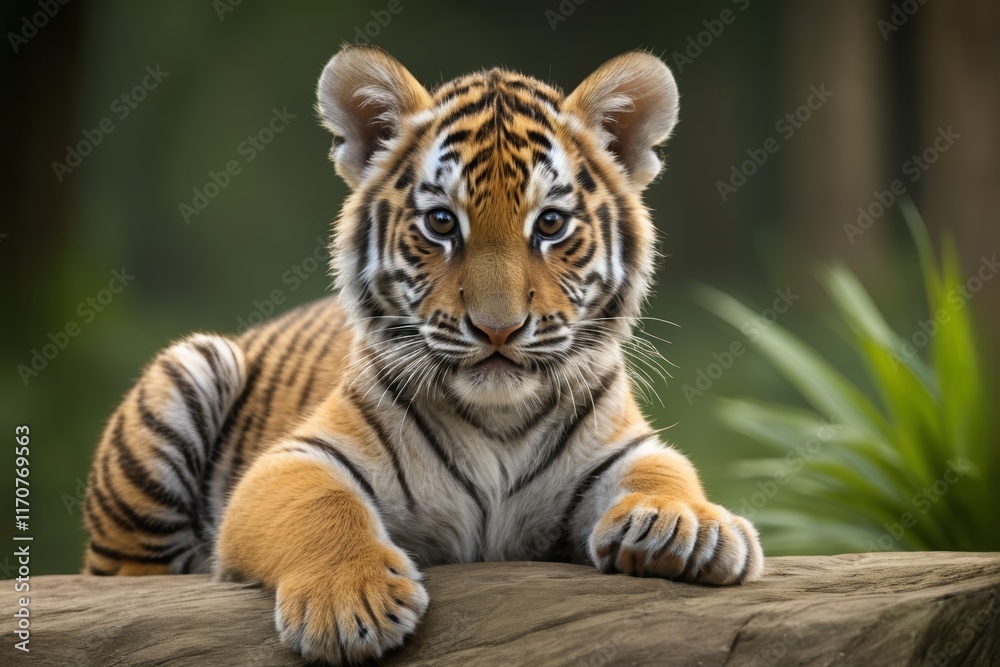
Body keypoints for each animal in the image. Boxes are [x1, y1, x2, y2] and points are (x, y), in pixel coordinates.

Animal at [81, 45, 764, 665]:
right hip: (193, 370)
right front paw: (348, 603)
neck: (498, 419)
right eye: (441, 223)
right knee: (125, 584)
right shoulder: (292, 458)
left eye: (549, 225)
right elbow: (321, 506)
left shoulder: (623, 447)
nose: (497, 329)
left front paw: (687, 527)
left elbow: (665, 473)